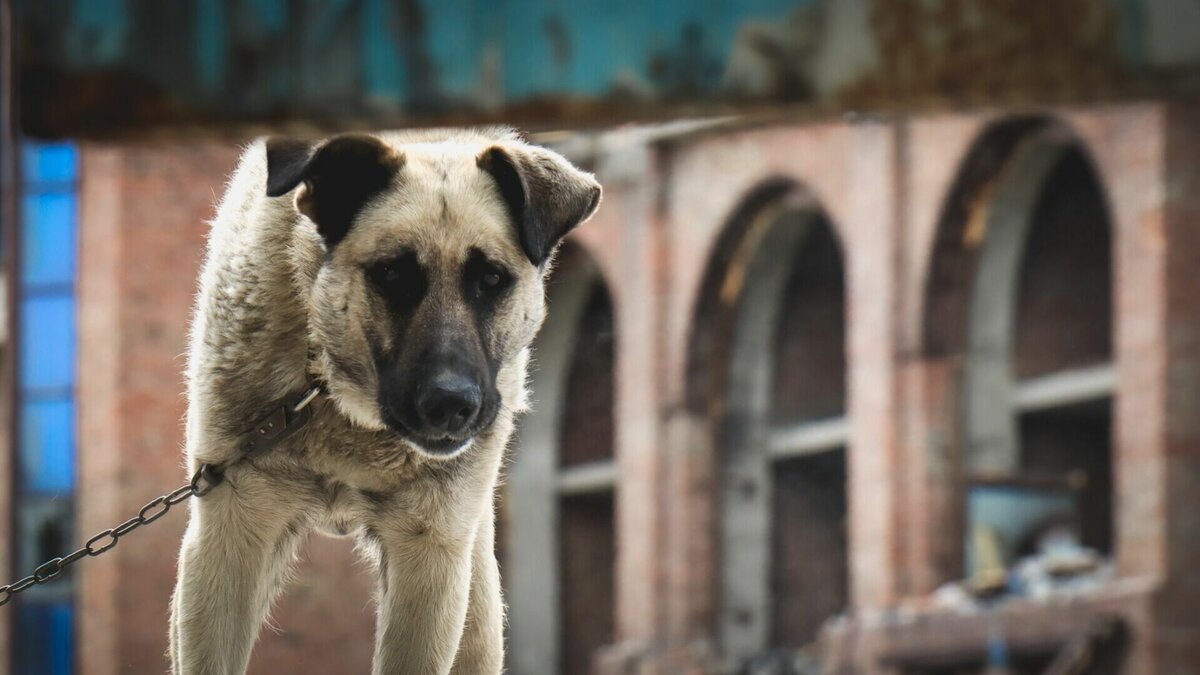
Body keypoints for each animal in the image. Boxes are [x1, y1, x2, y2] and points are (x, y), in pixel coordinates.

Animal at [169, 127, 600, 672]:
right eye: (393, 274)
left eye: (492, 280)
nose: (450, 404)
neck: (338, 401)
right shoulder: (232, 528)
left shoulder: (430, 552)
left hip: (475, 595)